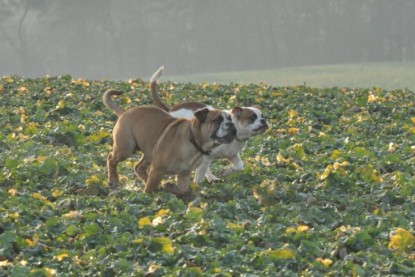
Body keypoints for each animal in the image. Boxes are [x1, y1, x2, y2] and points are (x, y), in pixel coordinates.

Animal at [103, 88, 237, 194]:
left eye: (230, 119)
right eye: (217, 120)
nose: (231, 124)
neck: (194, 141)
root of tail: (125, 112)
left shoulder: (184, 173)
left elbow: (183, 189)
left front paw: (170, 187)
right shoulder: (157, 168)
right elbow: (150, 188)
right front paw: (149, 195)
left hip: (149, 153)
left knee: (139, 167)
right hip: (126, 148)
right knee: (111, 159)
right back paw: (113, 180)